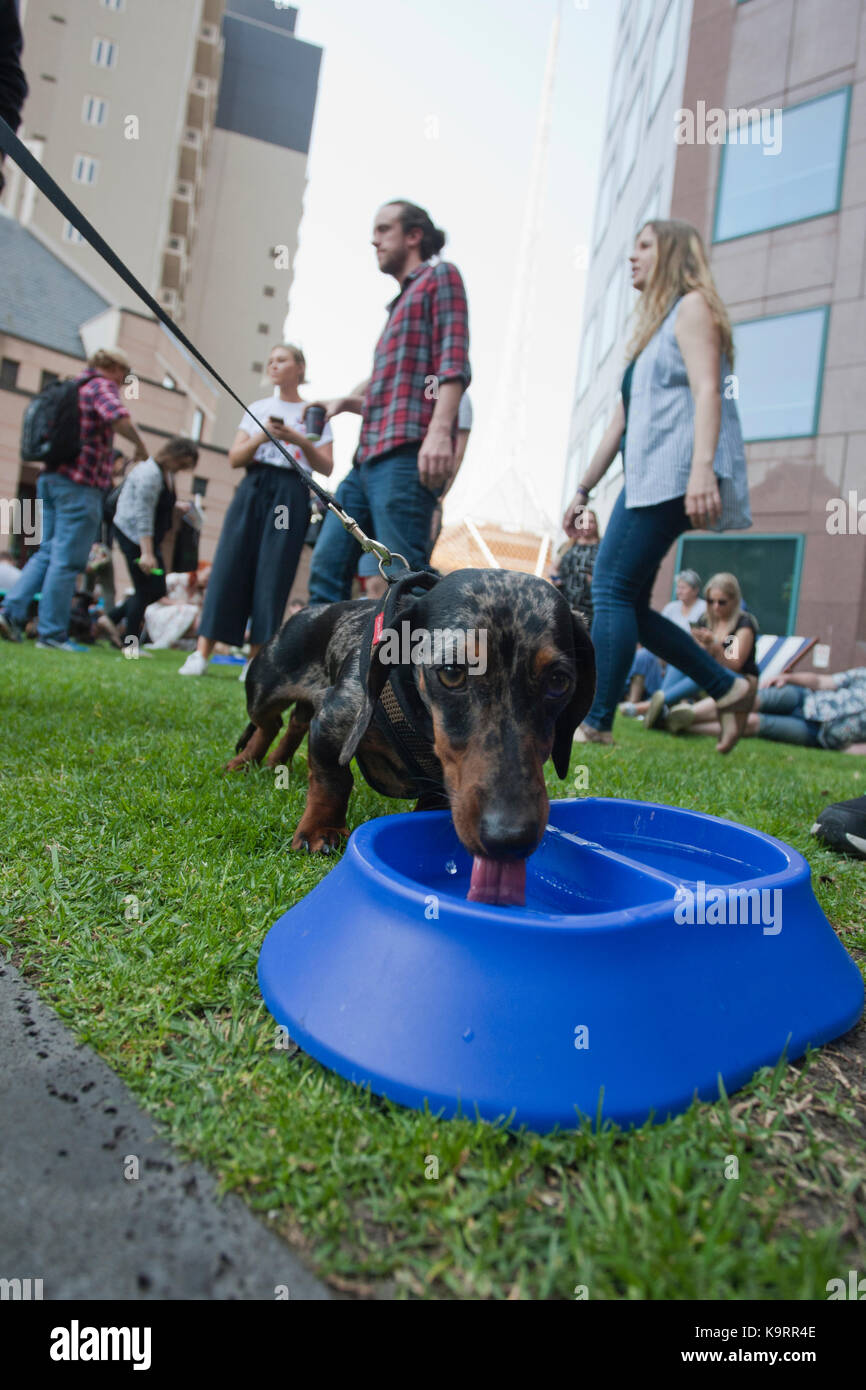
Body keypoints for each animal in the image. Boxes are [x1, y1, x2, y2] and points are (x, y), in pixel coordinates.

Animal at [230, 569, 594, 906]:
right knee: (270, 723)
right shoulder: (333, 721)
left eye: (559, 681)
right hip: (263, 692)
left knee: (293, 723)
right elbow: (333, 780)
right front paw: (321, 830)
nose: (510, 839)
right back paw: (244, 762)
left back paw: (276, 762)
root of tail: (310, 611)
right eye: (451, 672)